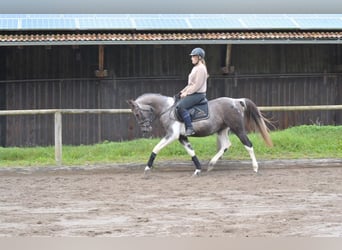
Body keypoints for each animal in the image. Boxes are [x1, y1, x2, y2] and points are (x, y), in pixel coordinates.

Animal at [127, 93, 274, 177]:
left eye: (137, 114)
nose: (145, 130)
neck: (166, 109)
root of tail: (236, 101)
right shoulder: (182, 137)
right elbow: (191, 152)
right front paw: (198, 169)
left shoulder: (172, 135)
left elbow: (156, 148)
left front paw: (147, 168)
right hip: (222, 129)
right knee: (226, 144)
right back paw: (211, 164)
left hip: (237, 128)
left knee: (248, 145)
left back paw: (255, 168)